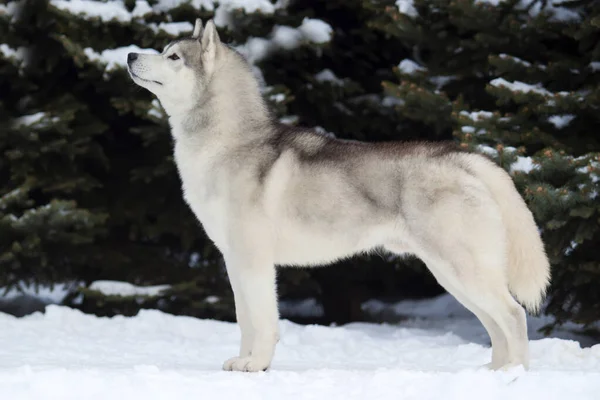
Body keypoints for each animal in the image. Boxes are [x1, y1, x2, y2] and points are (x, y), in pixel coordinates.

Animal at [129, 18, 552, 374]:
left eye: (173, 57)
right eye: (163, 49)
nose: (131, 55)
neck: (228, 142)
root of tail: (463, 156)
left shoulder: (255, 260)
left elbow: (263, 322)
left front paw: (257, 365)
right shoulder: (234, 261)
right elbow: (245, 320)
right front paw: (245, 362)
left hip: (462, 268)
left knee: (513, 316)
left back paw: (515, 375)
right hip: (452, 275)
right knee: (494, 323)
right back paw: (492, 373)